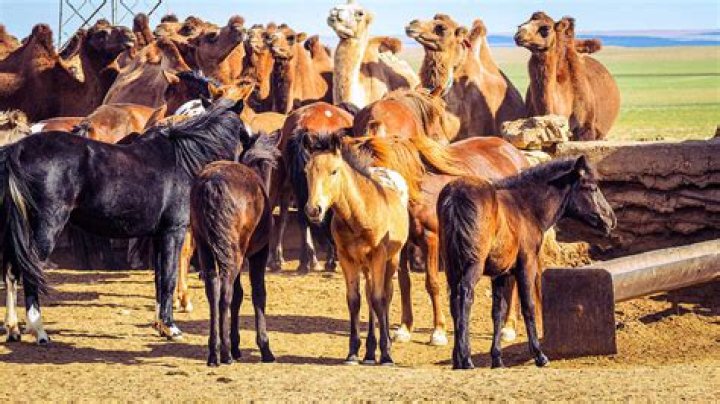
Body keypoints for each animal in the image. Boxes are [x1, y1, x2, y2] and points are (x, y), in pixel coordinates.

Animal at [0, 99, 251, 344]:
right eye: (245, 135)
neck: (182, 160)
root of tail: (17, 151)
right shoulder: (174, 232)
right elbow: (169, 277)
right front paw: (171, 327)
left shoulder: (158, 236)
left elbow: (160, 279)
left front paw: (160, 325)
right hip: (45, 228)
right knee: (29, 273)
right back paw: (39, 331)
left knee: (12, 272)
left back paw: (13, 329)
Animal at [191, 134, 280, 366]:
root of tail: (212, 184)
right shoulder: (259, 254)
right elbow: (258, 293)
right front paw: (264, 347)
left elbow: (239, 296)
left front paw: (236, 343)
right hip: (234, 252)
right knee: (225, 292)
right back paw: (225, 354)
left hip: (208, 248)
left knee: (213, 290)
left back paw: (214, 351)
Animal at [303, 131, 409, 365]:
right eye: (307, 171)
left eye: (334, 171)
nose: (314, 210)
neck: (358, 214)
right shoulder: (347, 259)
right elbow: (355, 301)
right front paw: (353, 352)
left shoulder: (378, 257)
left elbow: (379, 299)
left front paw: (386, 354)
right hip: (366, 266)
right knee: (369, 297)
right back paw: (369, 353)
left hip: (391, 260)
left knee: (385, 295)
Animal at [437, 156, 616, 369]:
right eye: (591, 187)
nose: (611, 220)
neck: (525, 208)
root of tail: (455, 196)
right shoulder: (526, 264)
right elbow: (528, 306)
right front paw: (540, 355)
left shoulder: (500, 274)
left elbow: (498, 311)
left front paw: (497, 359)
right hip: (473, 265)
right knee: (465, 296)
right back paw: (466, 358)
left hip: (452, 267)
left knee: (454, 301)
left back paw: (457, 359)